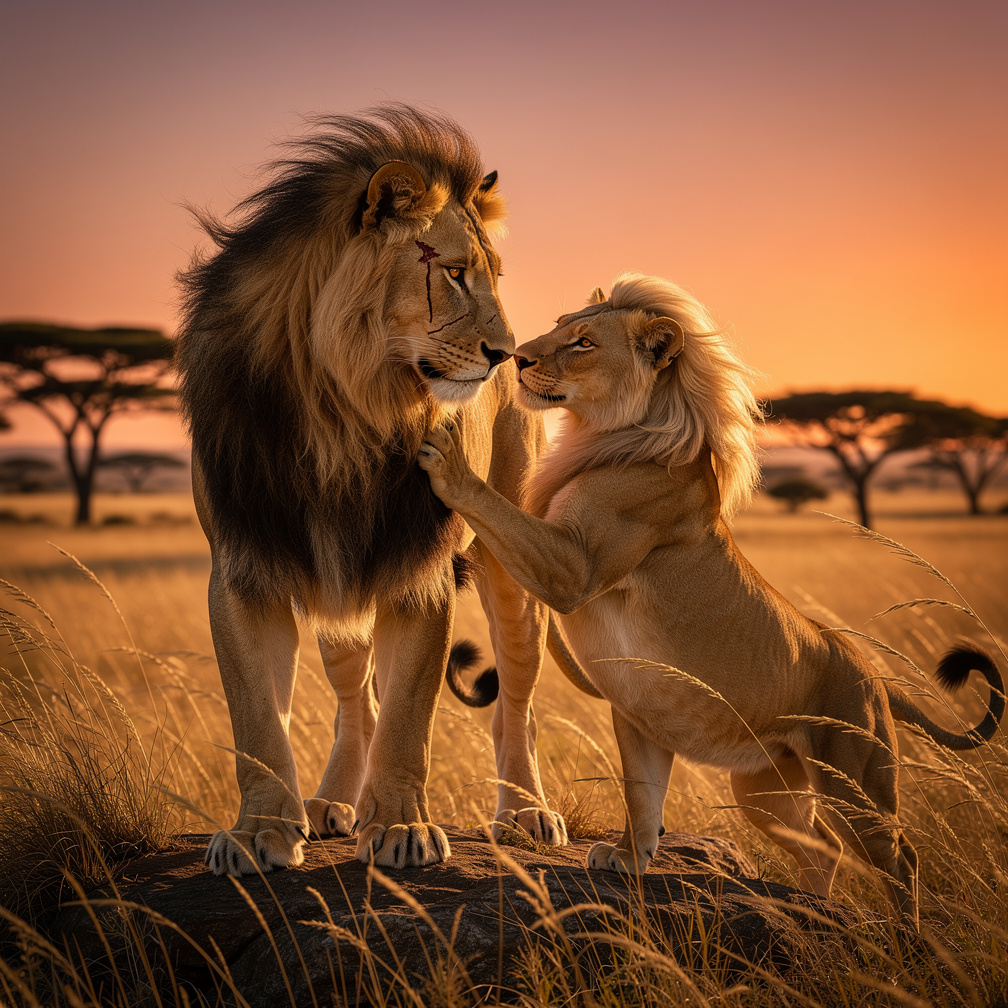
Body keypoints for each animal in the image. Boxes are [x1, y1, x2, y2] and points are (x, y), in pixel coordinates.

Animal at [174, 105, 567, 876]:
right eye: (453, 274)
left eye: (496, 277)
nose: (509, 356)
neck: (340, 408)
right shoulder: (244, 564)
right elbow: (257, 719)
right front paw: (259, 832)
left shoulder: (415, 566)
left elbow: (412, 711)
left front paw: (402, 829)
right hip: (338, 592)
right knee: (356, 697)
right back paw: (332, 801)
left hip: (512, 570)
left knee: (517, 697)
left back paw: (525, 812)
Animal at [417, 271, 1004, 926]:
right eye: (560, 326)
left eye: (584, 343)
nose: (517, 359)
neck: (596, 435)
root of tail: (874, 677)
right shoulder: (638, 713)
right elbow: (643, 796)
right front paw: (630, 859)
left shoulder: (576, 568)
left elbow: (499, 511)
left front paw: (450, 457)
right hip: (766, 789)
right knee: (820, 844)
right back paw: (812, 912)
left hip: (852, 778)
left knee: (901, 856)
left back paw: (903, 936)